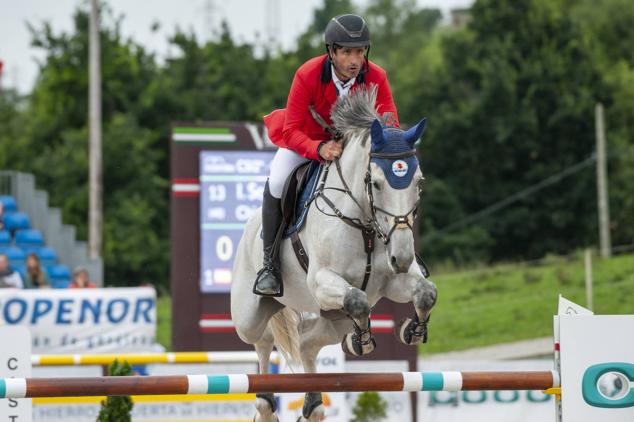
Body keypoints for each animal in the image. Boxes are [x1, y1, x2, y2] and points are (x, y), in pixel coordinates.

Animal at [231, 86, 434, 422]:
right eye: (376, 183)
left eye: (419, 183)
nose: (403, 258)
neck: (365, 223)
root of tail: (248, 228)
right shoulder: (322, 280)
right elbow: (357, 299)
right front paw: (361, 343)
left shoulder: (391, 282)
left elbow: (425, 293)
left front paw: (411, 331)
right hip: (248, 315)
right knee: (262, 341)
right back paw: (265, 406)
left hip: (331, 317)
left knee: (307, 344)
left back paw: (312, 405)